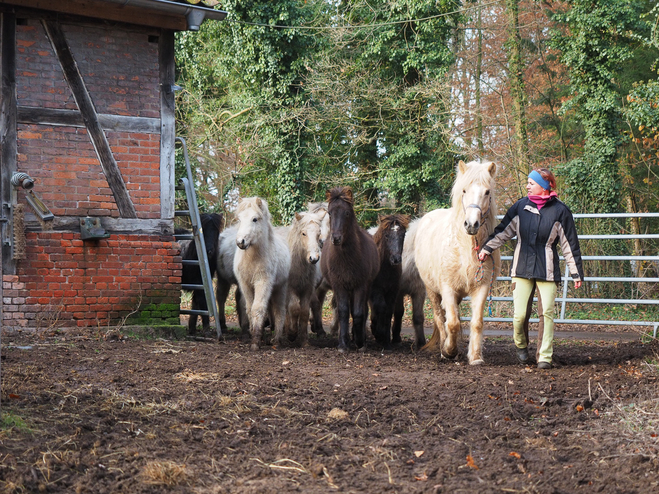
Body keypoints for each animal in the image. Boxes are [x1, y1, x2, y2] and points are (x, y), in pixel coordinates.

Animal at [235, 197, 292, 352]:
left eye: (255, 219)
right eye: (239, 219)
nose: (240, 242)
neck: (252, 257)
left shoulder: (263, 282)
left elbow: (258, 308)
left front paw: (255, 342)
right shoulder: (245, 284)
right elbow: (250, 309)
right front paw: (257, 336)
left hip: (280, 289)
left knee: (279, 311)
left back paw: (276, 340)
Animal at [322, 185, 378, 352]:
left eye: (347, 212)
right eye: (329, 213)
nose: (336, 239)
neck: (346, 259)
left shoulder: (361, 285)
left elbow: (359, 313)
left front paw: (360, 342)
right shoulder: (339, 285)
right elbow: (343, 311)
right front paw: (343, 343)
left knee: (362, 311)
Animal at [368, 214, 410, 350]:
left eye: (403, 234)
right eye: (386, 235)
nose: (396, 259)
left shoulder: (392, 291)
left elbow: (389, 311)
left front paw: (386, 340)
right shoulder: (376, 290)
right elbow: (382, 307)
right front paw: (380, 334)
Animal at [416, 160, 502, 364]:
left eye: (487, 192)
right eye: (464, 190)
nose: (471, 224)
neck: (465, 249)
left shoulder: (481, 287)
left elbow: (477, 323)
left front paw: (476, 357)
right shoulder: (447, 288)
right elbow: (452, 323)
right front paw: (449, 351)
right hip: (432, 290)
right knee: (440, 319)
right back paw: (443, 349)